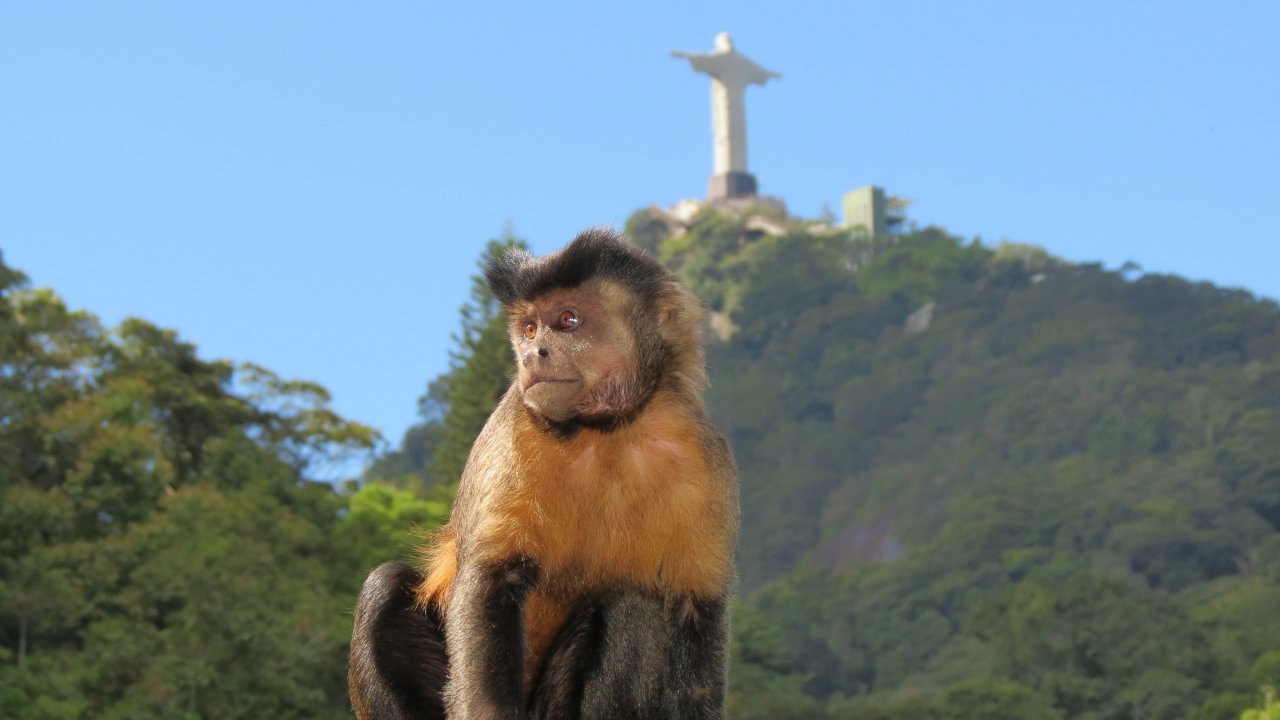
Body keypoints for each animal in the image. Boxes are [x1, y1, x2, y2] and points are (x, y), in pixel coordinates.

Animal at [349, 227, 739, 720]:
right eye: (530, 328)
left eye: (568, 320)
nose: (535, 353)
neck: (605, 429)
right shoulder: (517, 422)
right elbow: (491, 579)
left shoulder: (704, 456)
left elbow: (696, 608)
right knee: (385, 588)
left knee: (634, 603)